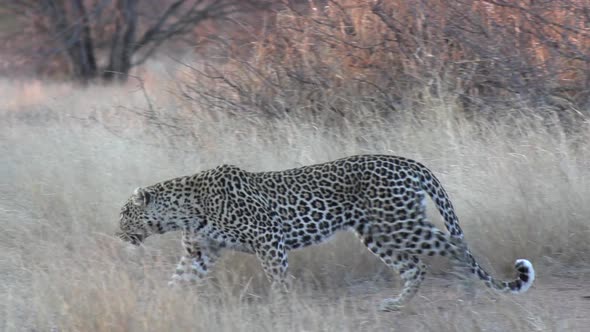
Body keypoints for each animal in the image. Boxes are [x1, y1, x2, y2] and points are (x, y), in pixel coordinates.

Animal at [115, 154, 536, 310]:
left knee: (455, 244)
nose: (116, 235)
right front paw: (158, 303)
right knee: (416, 266)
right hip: (376, 232)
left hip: (399, 223)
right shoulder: (200, 253)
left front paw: (283, 307)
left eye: (123, 215)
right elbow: (178, 279)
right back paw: (395, 304)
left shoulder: (269, 240)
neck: (183, 213)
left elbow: (278, 278)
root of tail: (408, 161)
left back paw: (468, 291)